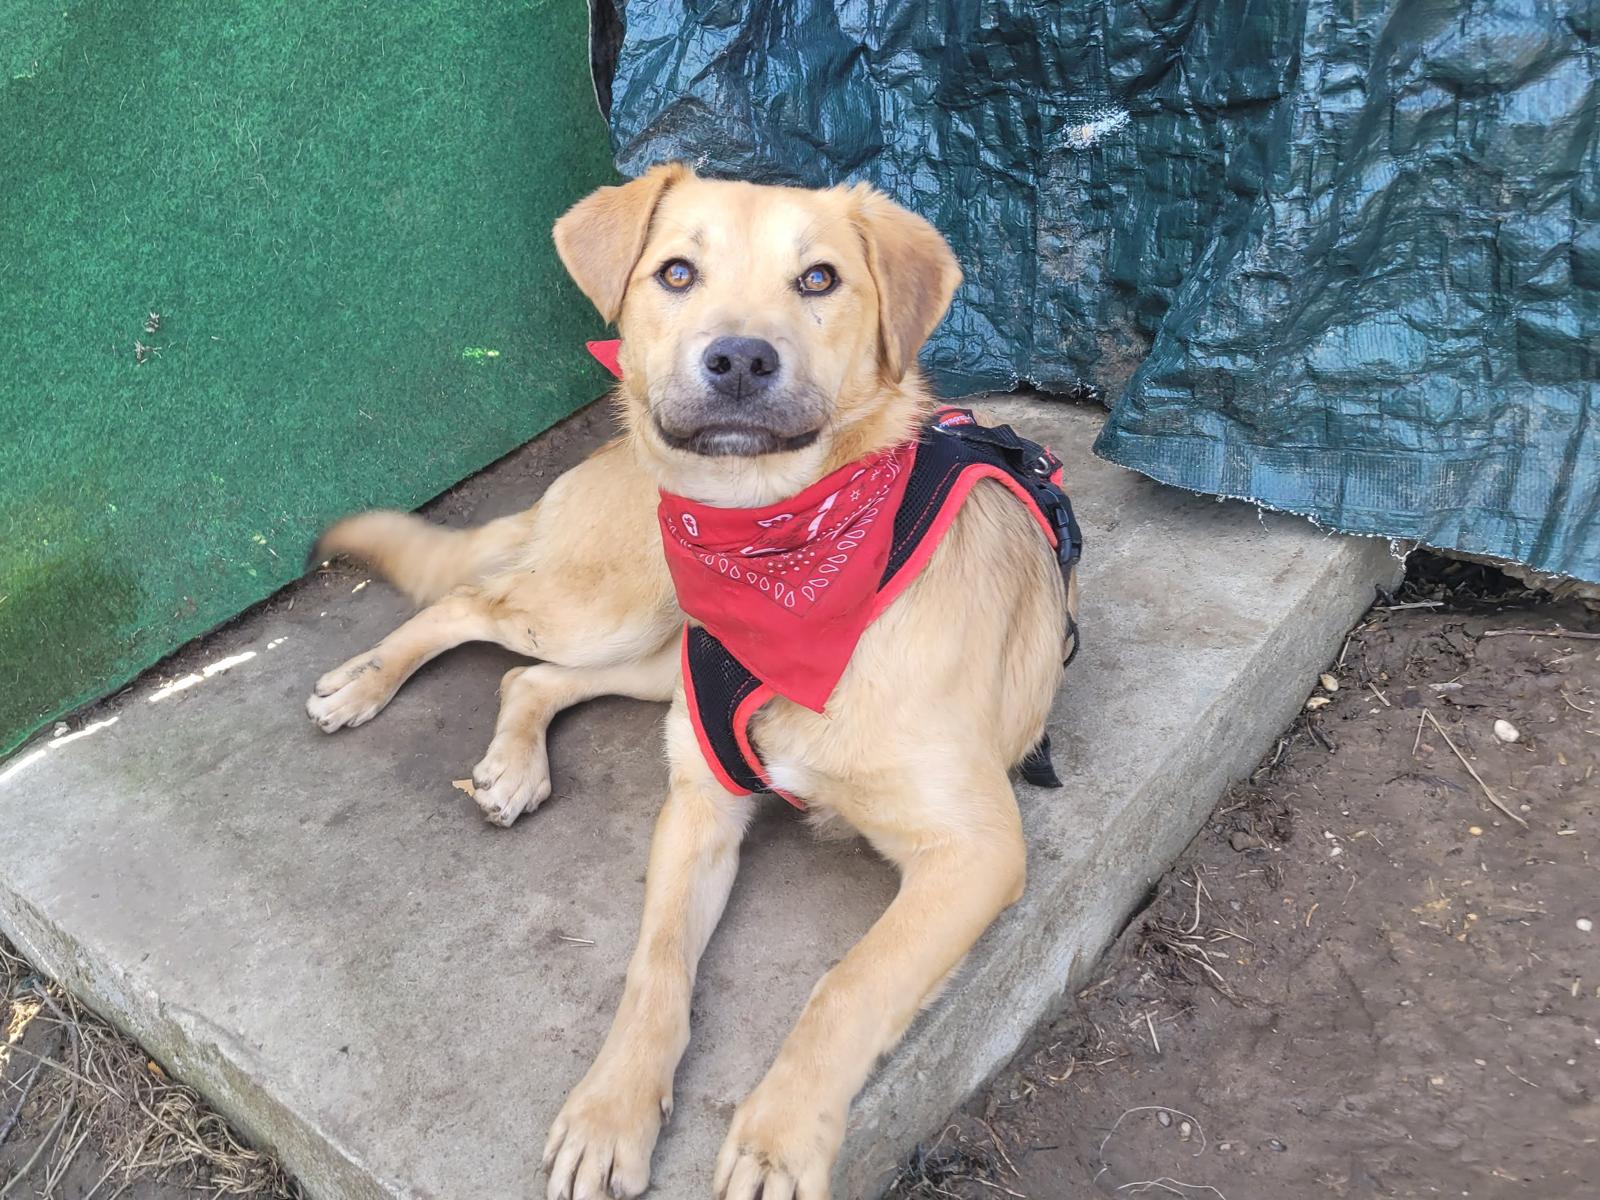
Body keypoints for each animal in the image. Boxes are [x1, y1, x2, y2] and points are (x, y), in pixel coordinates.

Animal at [307, 163, 1080, 1200]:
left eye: (820, 279)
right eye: (677, 272)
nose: (741, 361)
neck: (778, 551)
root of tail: (603, 460)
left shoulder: (976, 850)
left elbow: (850, 983)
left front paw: (779, 1138)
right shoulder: (701, 808)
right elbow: (658, 967)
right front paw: (611, 1110)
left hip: (653, 654)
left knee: (529, 678)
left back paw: (511, 764)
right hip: (606, 608)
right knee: (471, 604)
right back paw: (365, 684)